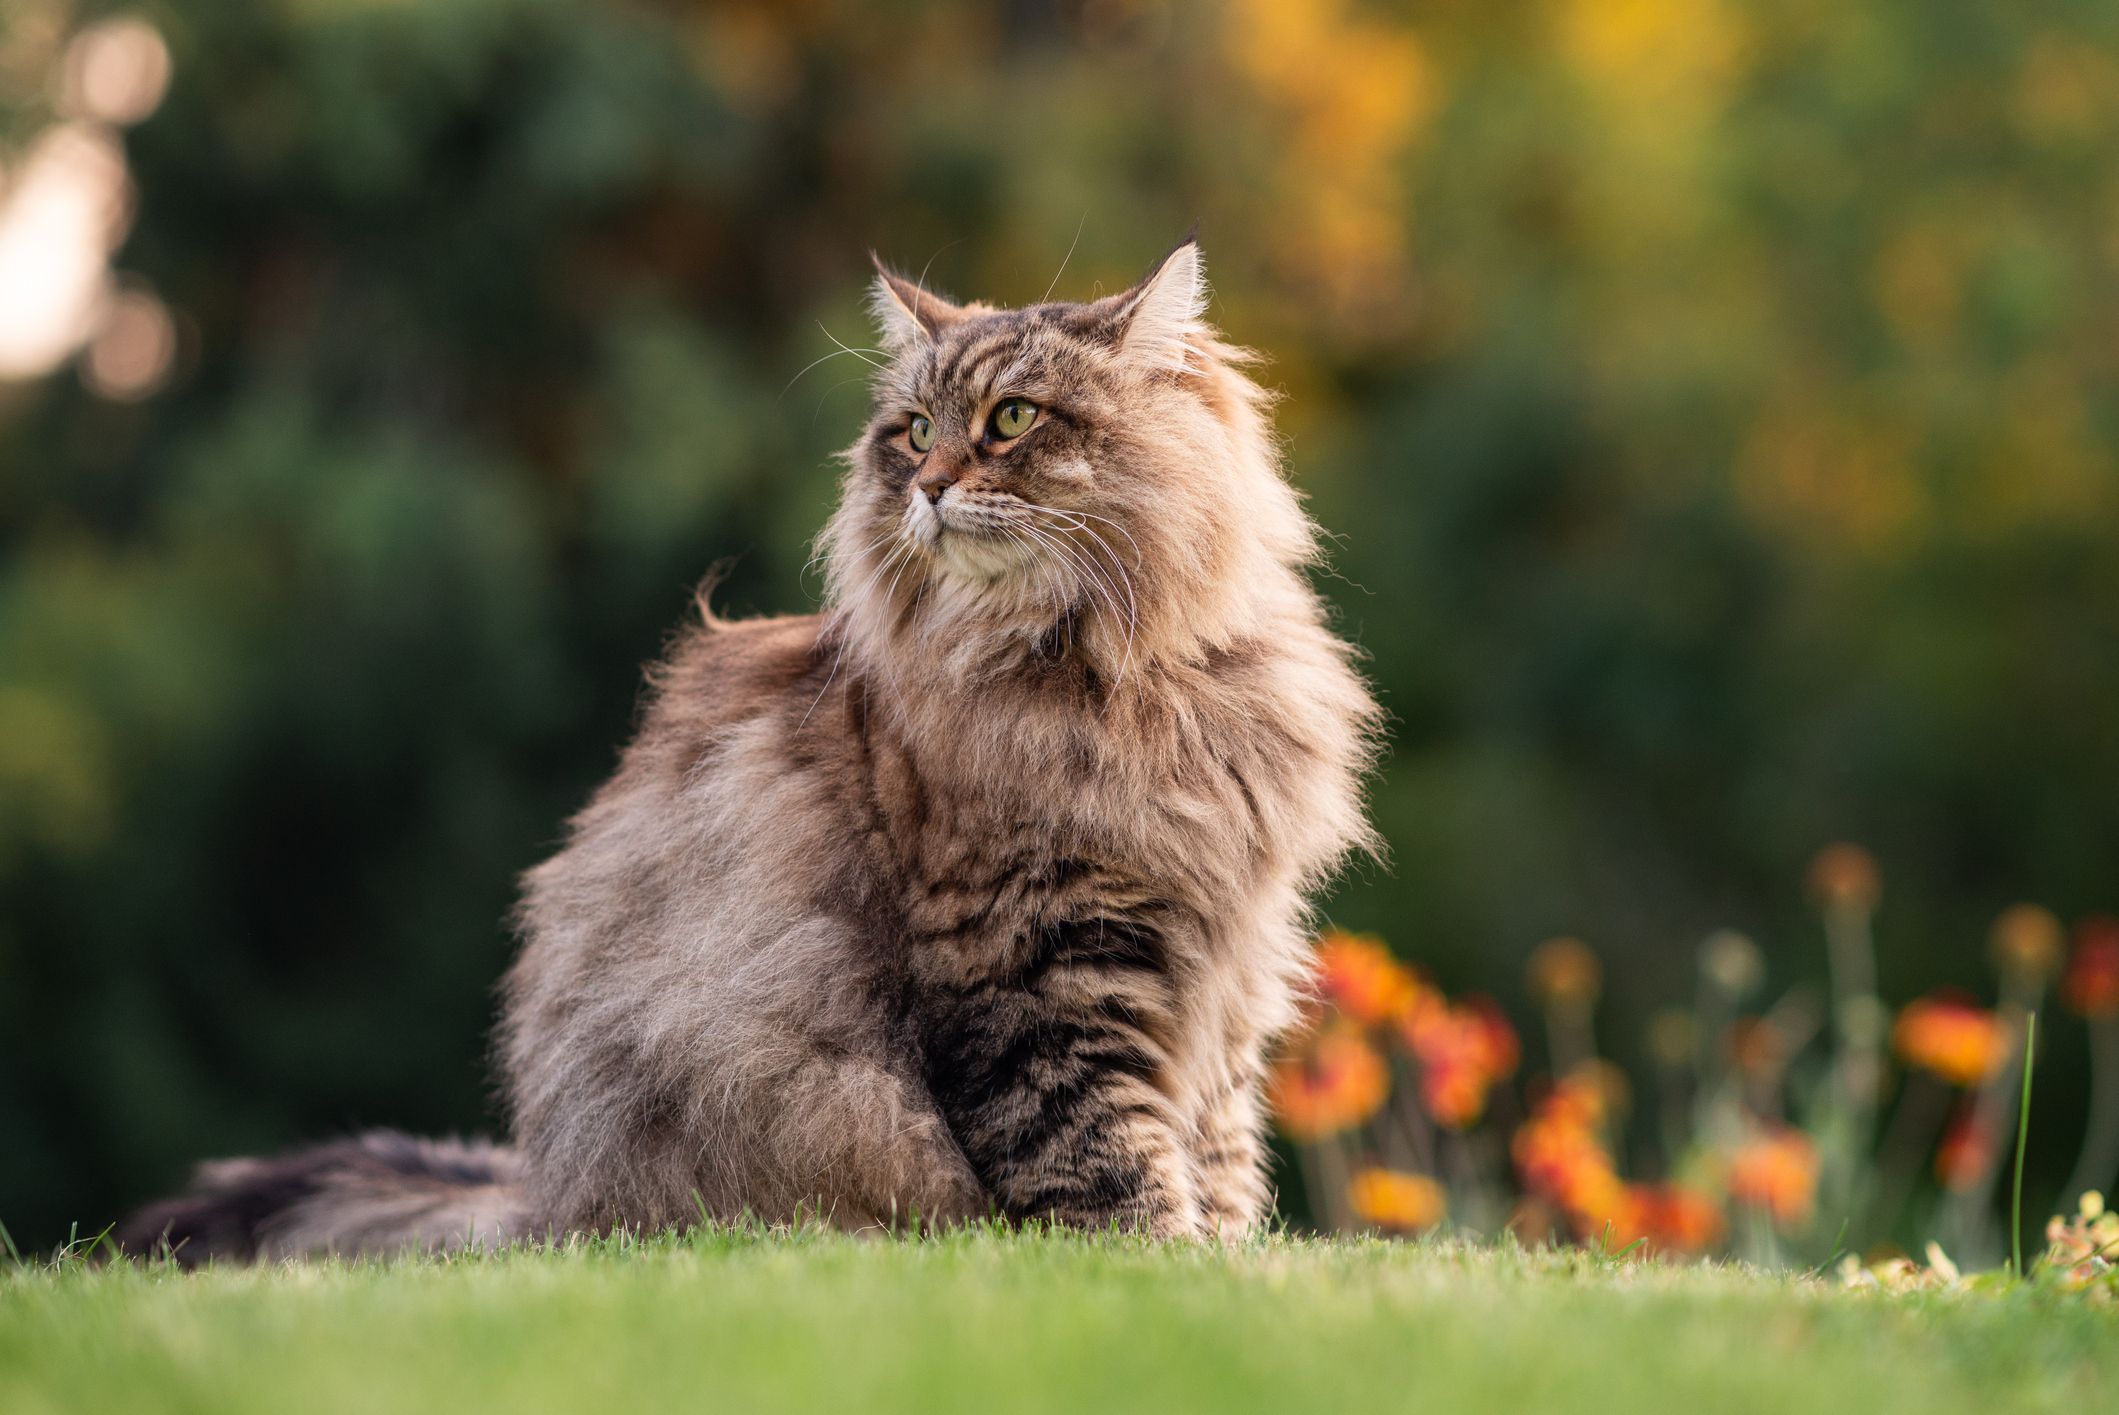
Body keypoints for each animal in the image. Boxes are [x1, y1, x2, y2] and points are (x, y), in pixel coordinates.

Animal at [120, 237, 1373, 1262]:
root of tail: (541, 1199)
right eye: (916, 431)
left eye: (1012, 419)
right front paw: (1167, 1272)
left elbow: (1217, 1155)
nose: (929, 487)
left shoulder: (1226, 963)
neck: (1125, 676)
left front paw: (1233, 1266)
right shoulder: (1034, 960)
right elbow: (1105, 1160)